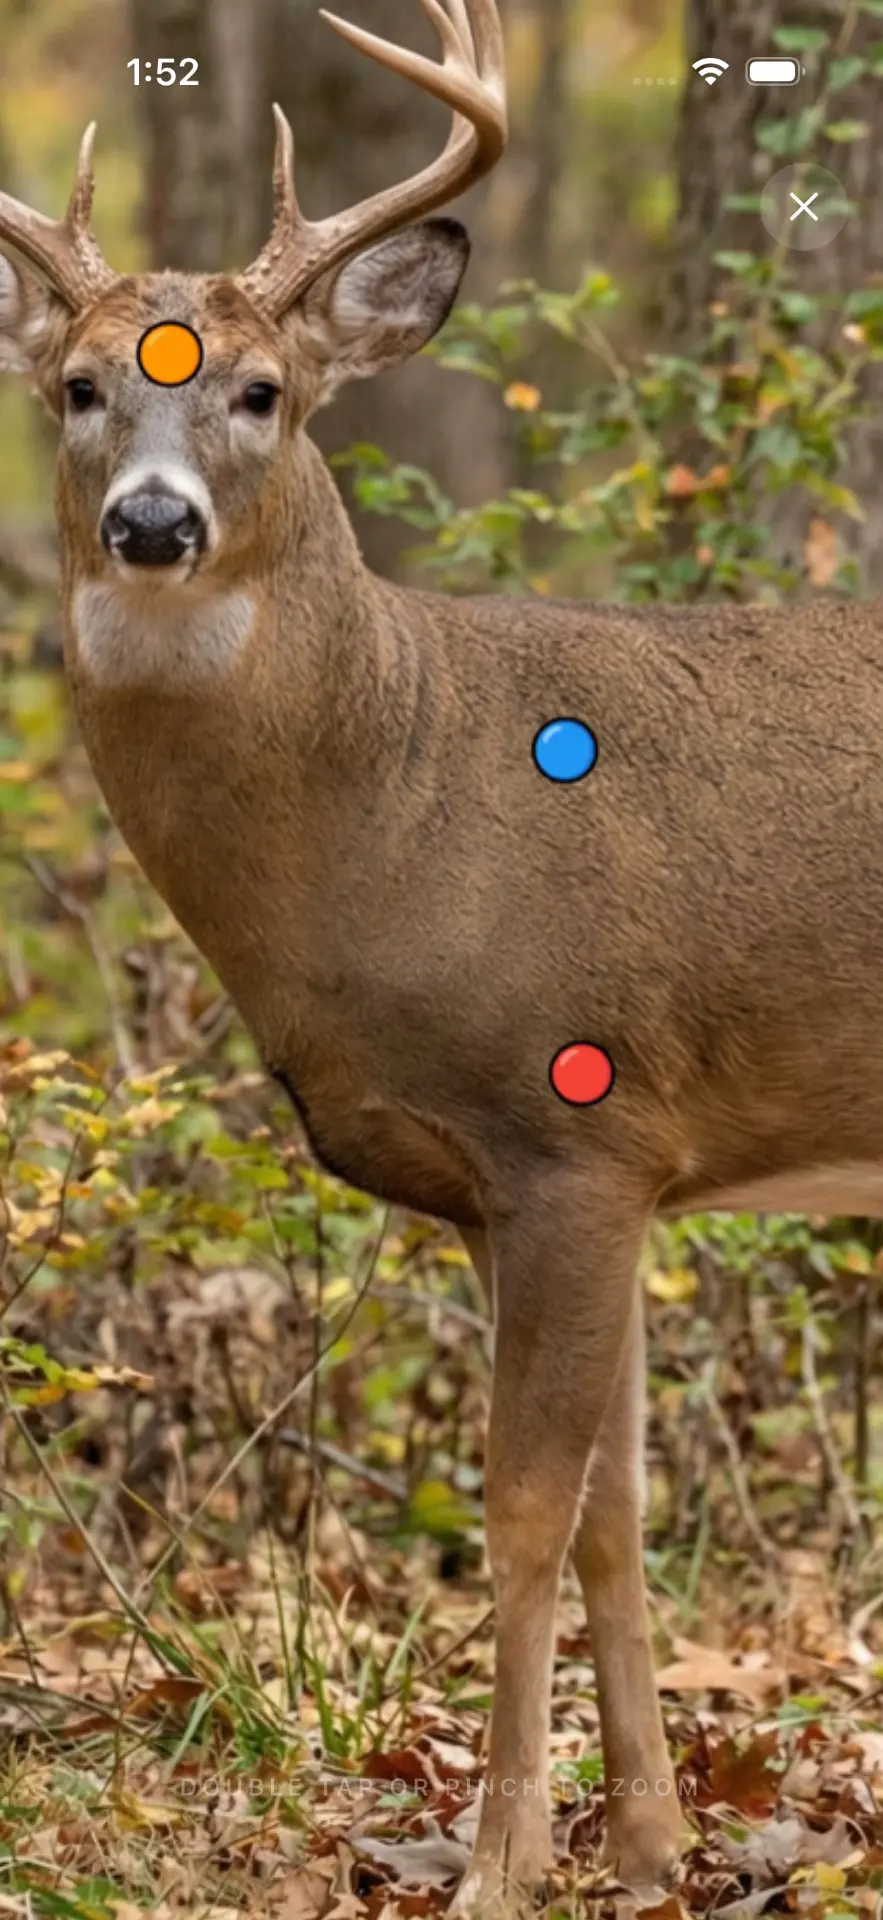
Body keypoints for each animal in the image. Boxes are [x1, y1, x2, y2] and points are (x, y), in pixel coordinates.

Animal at [1, 0, 881, 1906]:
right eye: (80, 388)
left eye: (262, 392)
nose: (154, 527)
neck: (399, 811)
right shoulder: (566, 1183)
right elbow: (617, 1513)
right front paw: (646, 1847)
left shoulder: (577, 1133)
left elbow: (524, 1507)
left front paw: (499, 1859)